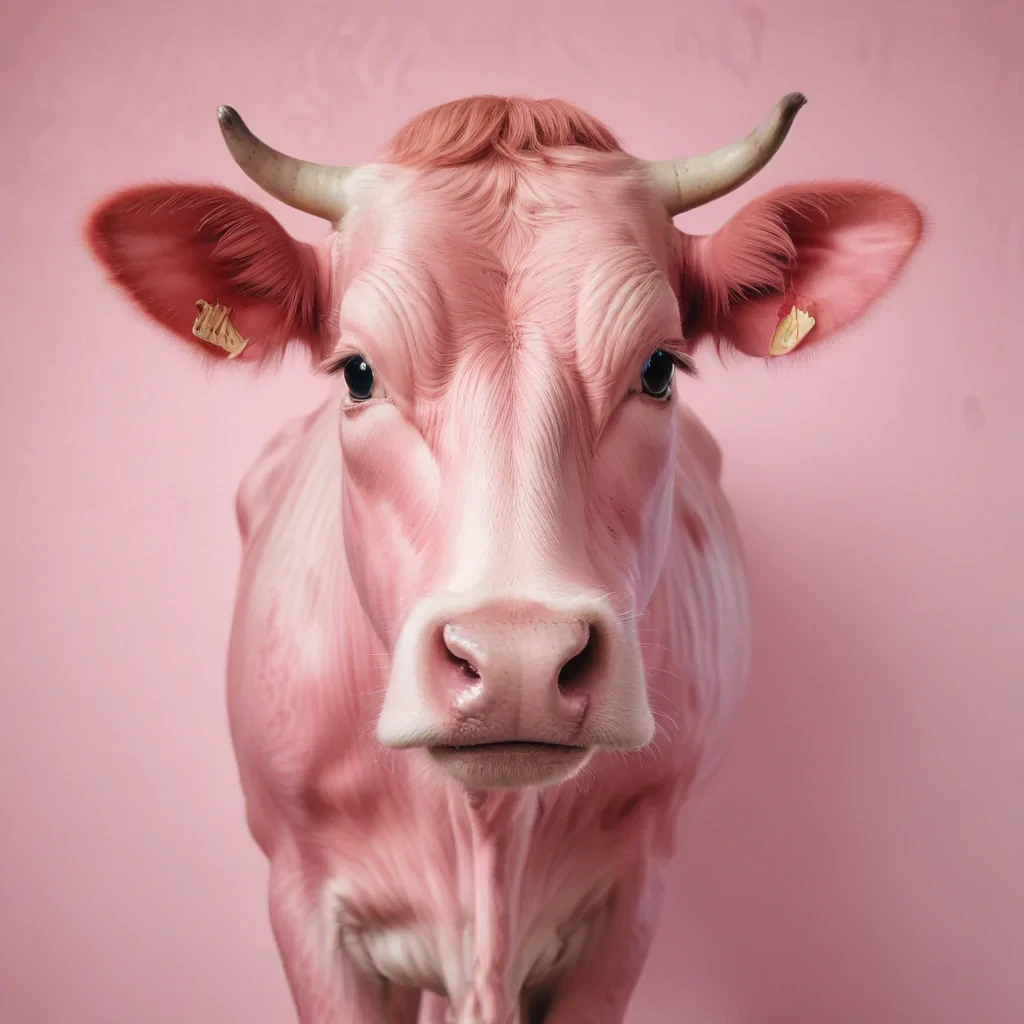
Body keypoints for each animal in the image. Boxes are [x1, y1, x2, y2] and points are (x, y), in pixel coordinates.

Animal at [85, 93, 923, 1023]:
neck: (485, 824)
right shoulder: (302, 901)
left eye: (659, 368)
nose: (518, 659)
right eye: (357, 372)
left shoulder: (630, 899)